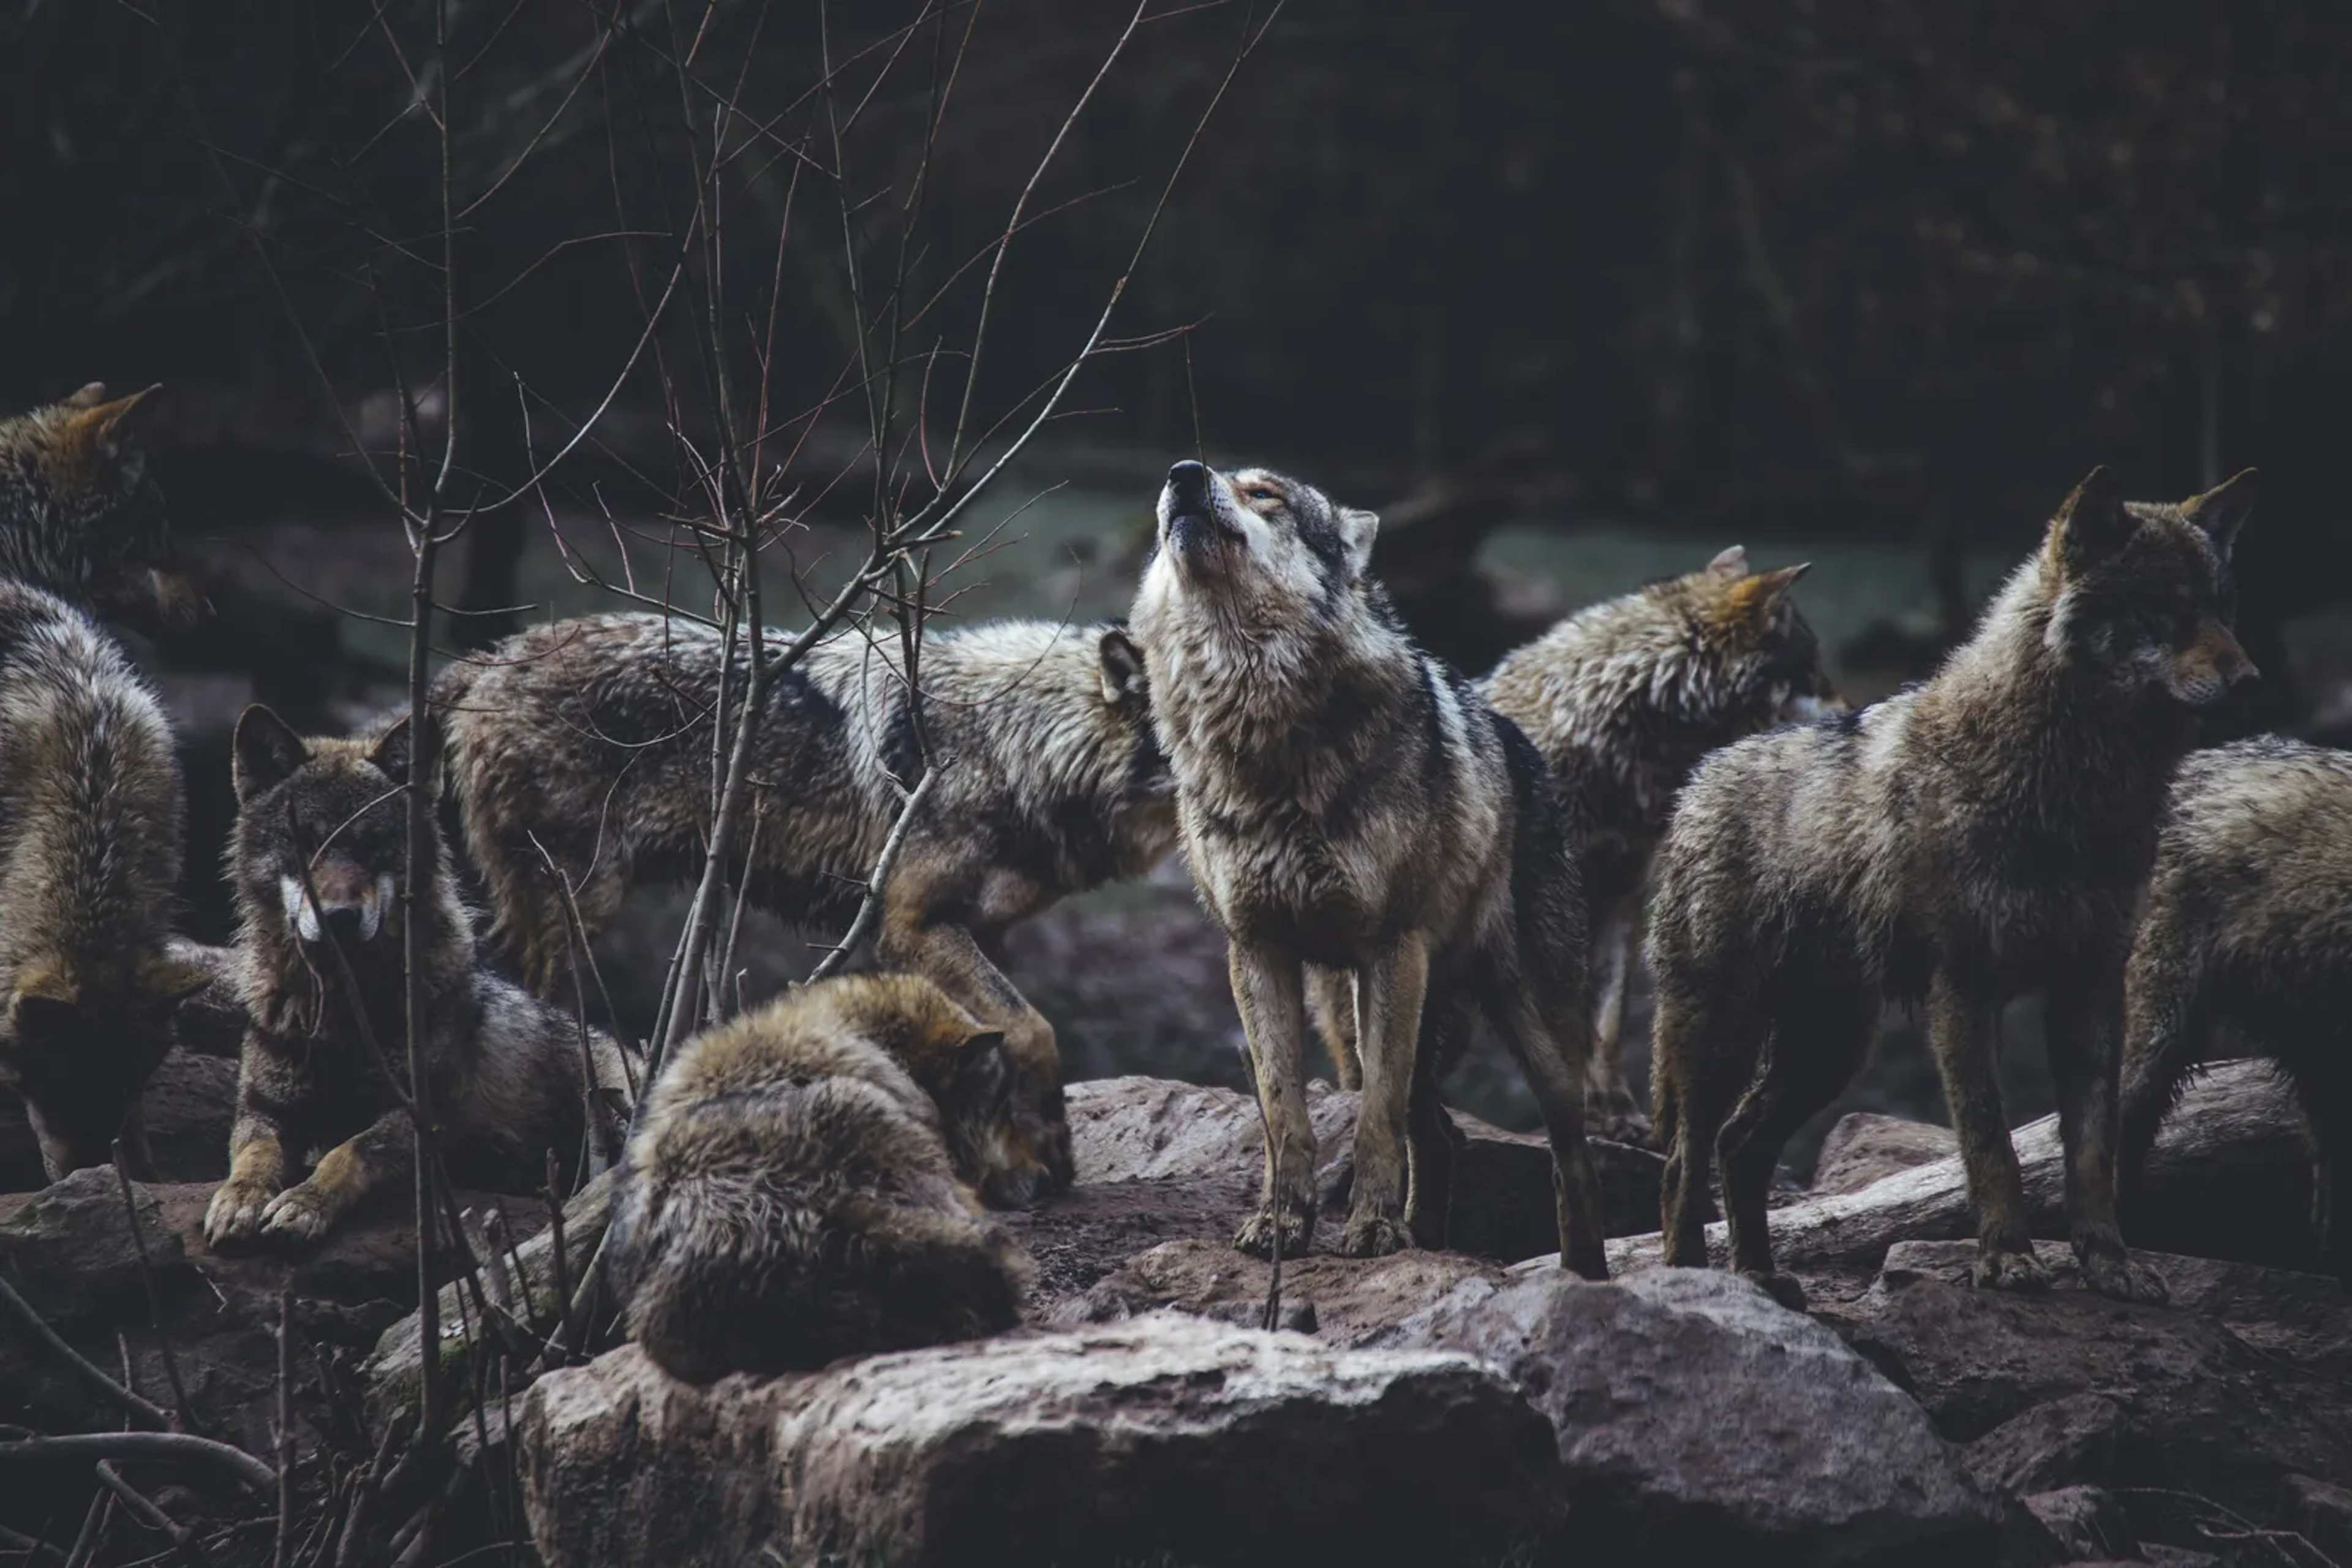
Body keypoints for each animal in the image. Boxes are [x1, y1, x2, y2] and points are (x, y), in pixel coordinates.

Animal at [203, 706, 638, 1248]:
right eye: (305, 842)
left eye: (373, 844)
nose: (339, 917)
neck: (343, 1013)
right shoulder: (262, 1110)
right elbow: (254, 1155)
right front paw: (238, 1199)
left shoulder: (419, 1118)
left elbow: (348, 1152)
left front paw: (305, 1204)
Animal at [434, 613, 1178, 1202]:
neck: (1014, 742)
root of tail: (487, 658)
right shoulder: (912, 927)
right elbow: (1034, 1030)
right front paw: (1046, 1154)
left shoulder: (980, 932)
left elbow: (1002, 1045)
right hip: (574, 910)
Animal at [1130, 459, 1606, 1274]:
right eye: (1197, 477)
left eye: (1266, 494)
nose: (1184, 475)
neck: (1259, 728)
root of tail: (1522, 743)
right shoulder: (1256, 950)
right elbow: (1284, 1114)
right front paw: (1281, 1226)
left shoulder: (1390, 948)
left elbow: (1374, 1121)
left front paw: (1375, 1231)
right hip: (1353, 1017)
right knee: (1441, 1133)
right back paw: (1431, 1241)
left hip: (1528, 1029)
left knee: (1568, 1157)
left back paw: (1584, 1274)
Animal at [1649, 467, 2258, 1306]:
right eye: (2165, 608)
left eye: (2224, 607)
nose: (2250, 680)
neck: (2074, 787)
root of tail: (1700, 777)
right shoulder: (1963, 989)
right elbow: (1990, 1141)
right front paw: (2006, 1259)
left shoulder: (2092, 986)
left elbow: (2092, 1151)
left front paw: (2110, 1263)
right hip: (1727, 1035)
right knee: (1687, 1154)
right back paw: (1691, 1278)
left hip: (1830, 1049)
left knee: (1741, 1144)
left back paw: (1761, 1278)